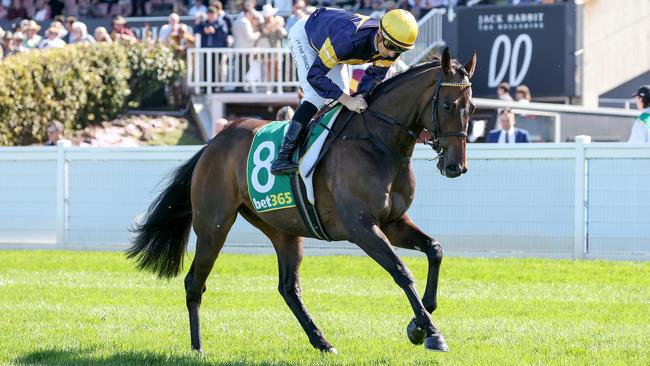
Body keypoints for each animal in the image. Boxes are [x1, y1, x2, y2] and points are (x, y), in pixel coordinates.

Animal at [128, 48, 476, 354]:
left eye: (471, 108)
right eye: (448, 105)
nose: (455, 166)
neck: (378, 142)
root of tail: (214, 142)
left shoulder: (393, 222)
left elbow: (435, 250)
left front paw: (419, 323)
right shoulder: (361, 227)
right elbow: (401, 271)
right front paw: (431, 332)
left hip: (283, 228)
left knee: (288, 287)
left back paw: (321, 341)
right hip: (214, 225)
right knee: (194, 283)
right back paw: (197, 347)